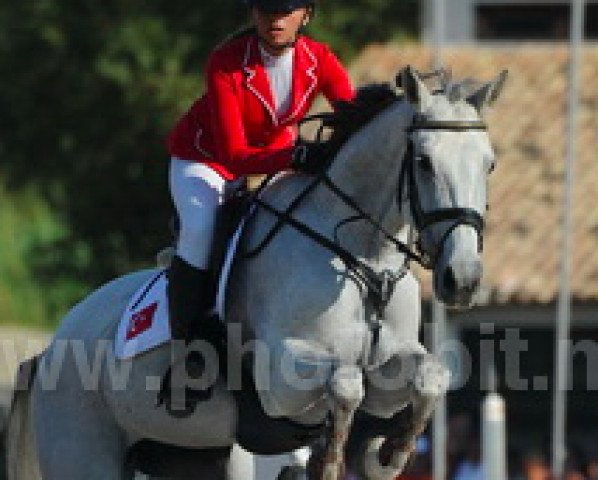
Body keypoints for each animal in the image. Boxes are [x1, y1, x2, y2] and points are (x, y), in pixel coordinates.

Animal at [7, 66, 508, 480]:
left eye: (489, 164)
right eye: (423, 162)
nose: (462, 279)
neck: (365, 261)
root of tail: (49, 350)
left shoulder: (387, 375)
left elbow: (431, 375)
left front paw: (385, 455)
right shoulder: (281, 379)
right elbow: (346, 383)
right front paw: (331, 462)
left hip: (192, 456)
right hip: (86, 453)